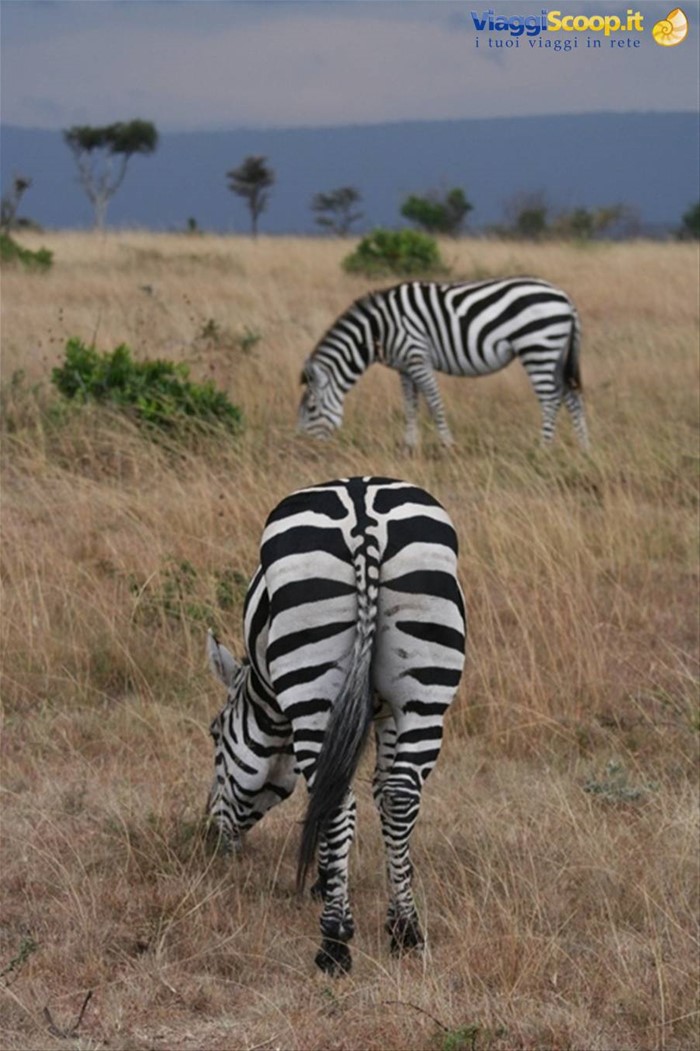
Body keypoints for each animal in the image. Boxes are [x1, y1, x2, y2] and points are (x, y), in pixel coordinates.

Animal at [207, 476, 466, 975]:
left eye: (214, 736)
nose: (209, 837)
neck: (263, 689)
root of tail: (363, 513)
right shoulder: (384, 714)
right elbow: (384, 794)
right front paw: (393, 901)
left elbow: (327, 795)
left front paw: (325, 886)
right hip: (425, 690)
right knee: (403, 794)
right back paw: (407, 931)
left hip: (314, 691)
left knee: (335, 800)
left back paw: (333, 944)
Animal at [297, 278, 589, 450]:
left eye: (311, 408)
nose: (305, 448)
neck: (379, 330)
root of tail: (565, 298)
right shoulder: (405, 367)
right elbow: (410, 407)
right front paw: (409, 447)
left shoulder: (417, 357)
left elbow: (434, 403)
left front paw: (448, 445)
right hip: (555, 354)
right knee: (571, 396)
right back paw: (584, 449)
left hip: (538, 348)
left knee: (551, 399)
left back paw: (543, 448)